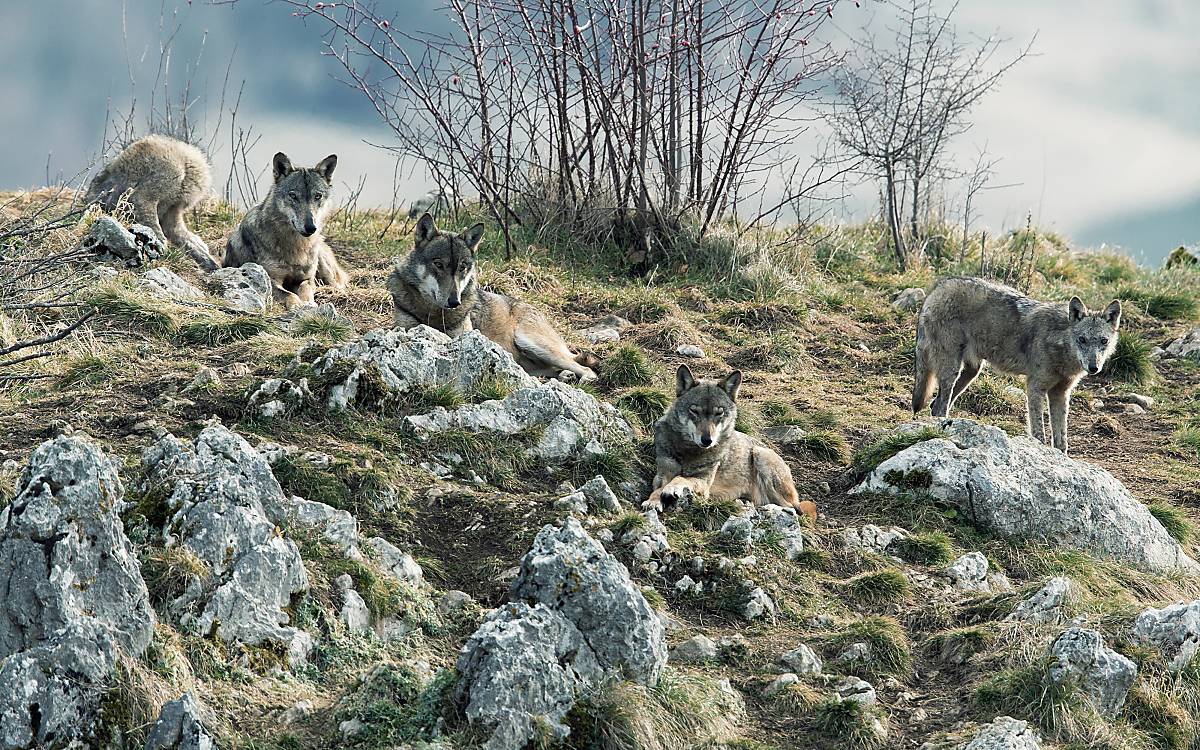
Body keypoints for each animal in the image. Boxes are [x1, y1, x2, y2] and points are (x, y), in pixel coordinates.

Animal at [223, 150, 350, 309]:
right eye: (293, 195)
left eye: (318, 196)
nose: (311, 227)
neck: (296, 248)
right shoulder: (270, 279)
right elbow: (289, 294)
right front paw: (297, 305)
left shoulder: (306, 279)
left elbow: (305, 290)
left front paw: (309, 303)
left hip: (326, 269)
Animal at [388, 213, 600, 384]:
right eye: (439, 264)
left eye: (462, 267)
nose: (454, 302)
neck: (434, 314)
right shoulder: (406, 327)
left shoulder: (463, 335)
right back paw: (565, 376)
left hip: (531, 342)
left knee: (586, 369)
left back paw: (580, 378)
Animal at [638, 364, 816, 520]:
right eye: (694, 411)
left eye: (719, 413)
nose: (707, 440)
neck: (688, 452)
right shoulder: (663, 474)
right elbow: (659, 488)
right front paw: (653, 501)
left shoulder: (703, 482)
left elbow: (681, 478)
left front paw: (671, 488)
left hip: (760, 456)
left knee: (793, 509)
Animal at [912, 273, 1118, 451]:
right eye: (1082, 339)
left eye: (1103, 341)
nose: (1093, 367)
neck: (1059, 346)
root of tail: (936, 289)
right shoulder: (1035, 387)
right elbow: (1039, 432)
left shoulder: (1060, 393)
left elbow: (1061, 440)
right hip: (952, 371)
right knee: (939, 407)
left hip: (971, 372)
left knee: (934, 405)